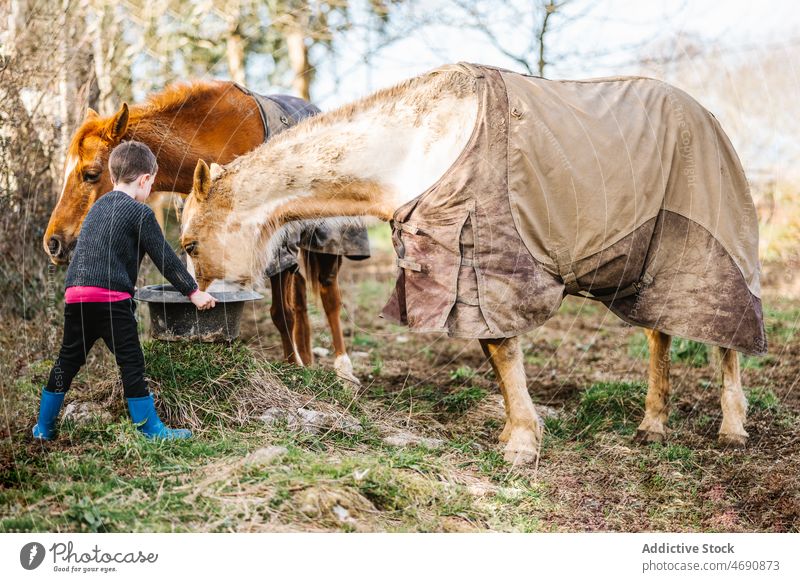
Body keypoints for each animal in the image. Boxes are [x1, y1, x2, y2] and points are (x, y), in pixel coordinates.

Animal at [41, 81, 360, 384]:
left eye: (91, 174)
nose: (53, 244)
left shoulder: (273, 243)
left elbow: (282, 313)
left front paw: (294, 370)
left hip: (330, 239)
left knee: (329, 297)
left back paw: (343, 370)